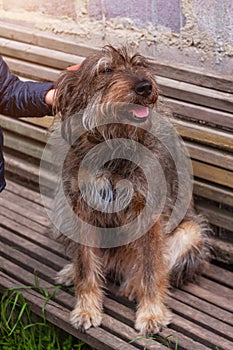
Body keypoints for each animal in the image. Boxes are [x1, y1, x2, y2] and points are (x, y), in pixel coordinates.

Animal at [52, 45, 209, 334]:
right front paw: (86, 308)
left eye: (140, 65)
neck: (115, 142)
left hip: (191, 232)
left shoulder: (150, 214)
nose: (145, 86)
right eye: (106, 69)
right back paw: (71, 271)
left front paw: (151, 313)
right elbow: (86, 265)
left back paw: (134, 284)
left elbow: (151, 268)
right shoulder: (80, 209)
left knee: (157, 265)